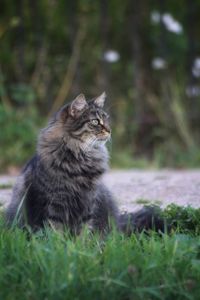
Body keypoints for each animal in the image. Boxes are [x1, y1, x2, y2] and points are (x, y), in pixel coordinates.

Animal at [6, 92, 166, 236]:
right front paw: (59, 245)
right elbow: (55, 231)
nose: (109, 130)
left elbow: (83, 232)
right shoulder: (54, 203)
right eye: (95, 122)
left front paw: (81, 246)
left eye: (106, 120)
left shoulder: (88, 202)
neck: (81, 157)